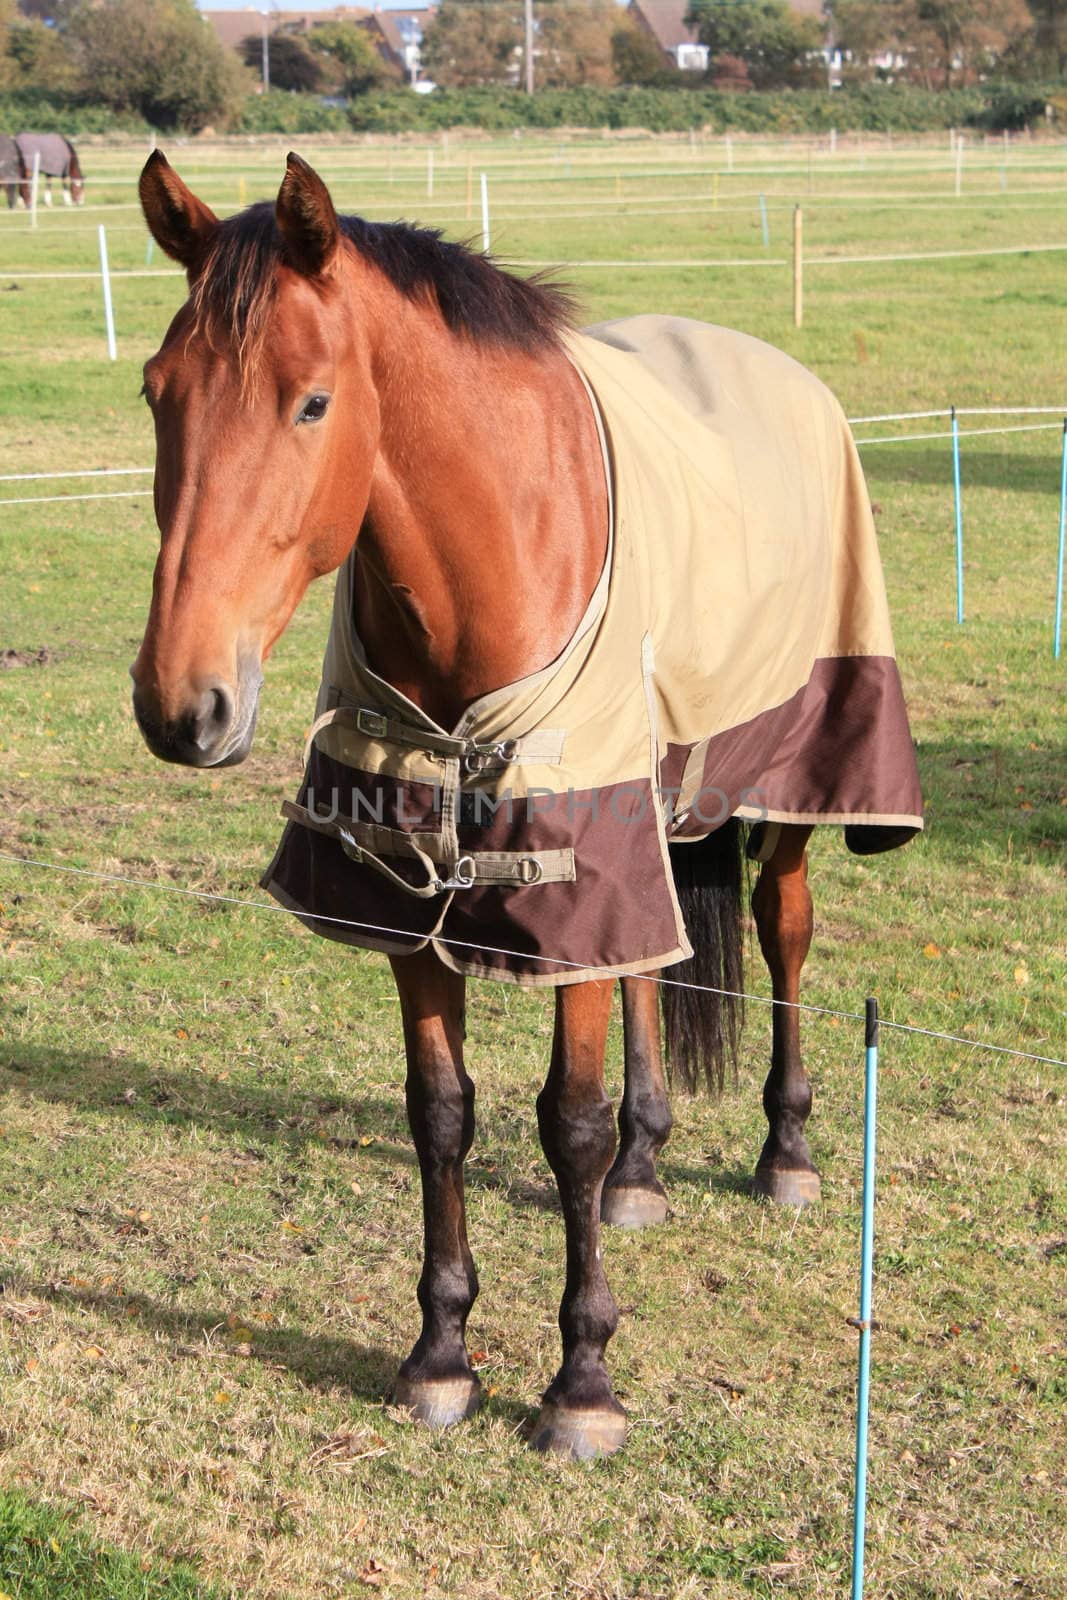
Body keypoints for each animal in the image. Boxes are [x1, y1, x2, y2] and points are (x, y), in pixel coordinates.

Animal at [131, 152, 921, 1465]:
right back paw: (648, 1168)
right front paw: (440, 1353)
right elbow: (440, 1112)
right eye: (157, 393)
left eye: (310, 404)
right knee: (654, 970)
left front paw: (581, 1379)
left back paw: (787, 1150)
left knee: (784, 934)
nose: (179, 704)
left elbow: (568, 1122)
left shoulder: (570, 865)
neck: (489, 560)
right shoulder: (413, 889)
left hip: (789, 780)